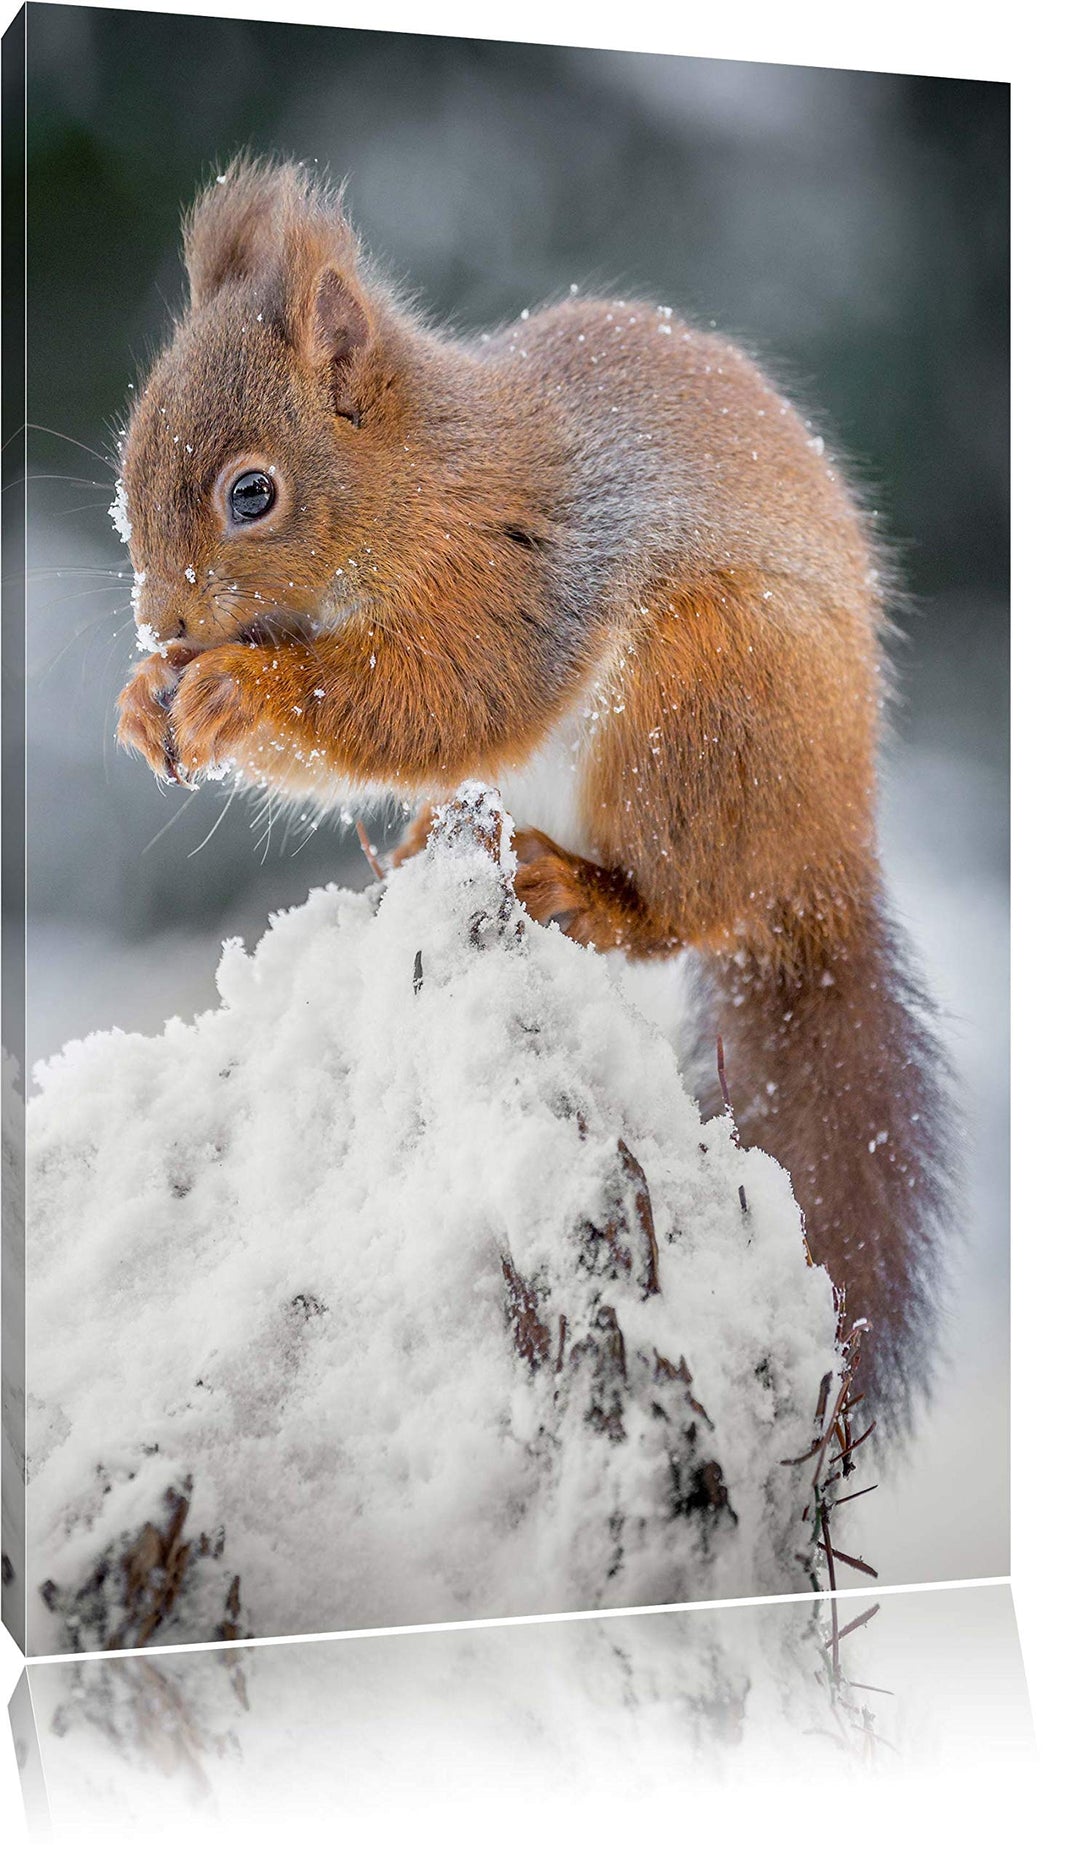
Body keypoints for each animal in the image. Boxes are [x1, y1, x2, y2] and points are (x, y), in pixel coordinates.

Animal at [115, 159, 954, 1426]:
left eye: (251, 494)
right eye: (129, 457)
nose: (163, 622)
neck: (417, 481)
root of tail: (825, 846)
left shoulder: (515, 573)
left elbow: (435, 697)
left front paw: (239, 690)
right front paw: (142, 701)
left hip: (700, 708)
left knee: (686, 911)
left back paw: (584, 891)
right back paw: (429, 844)